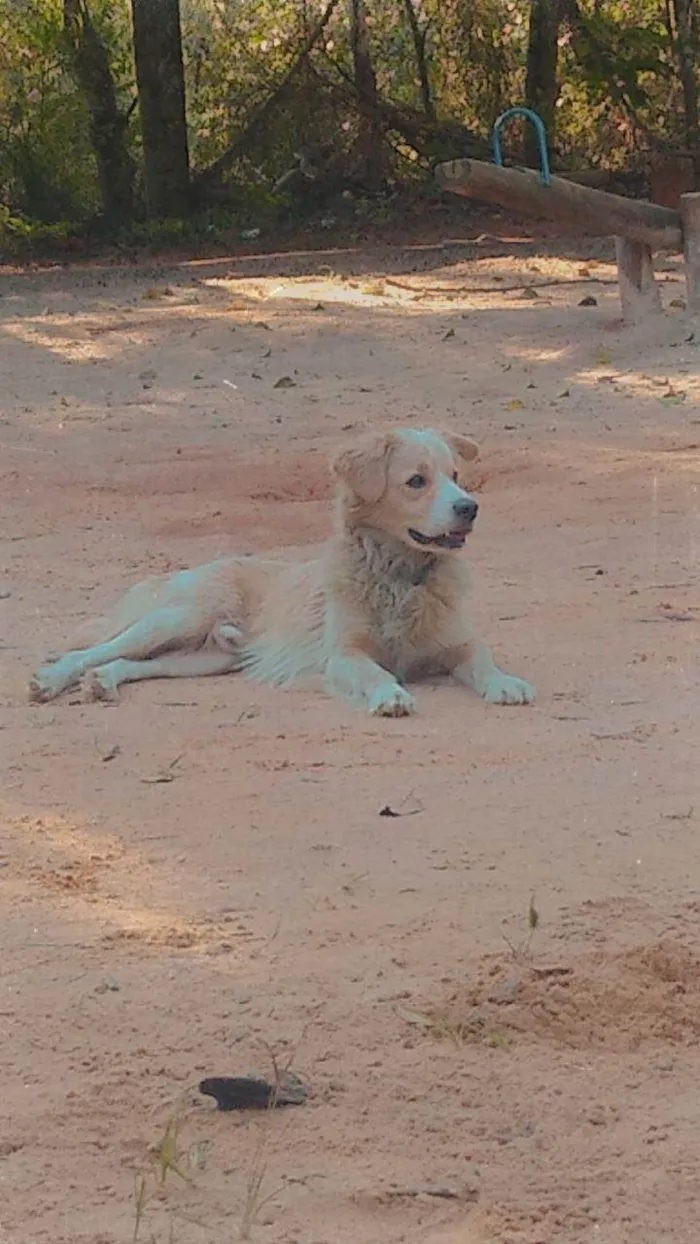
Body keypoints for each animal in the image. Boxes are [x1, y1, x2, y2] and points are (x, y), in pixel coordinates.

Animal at [28, 430, 537, 716]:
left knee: (128, 664)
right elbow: (375, 674)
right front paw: (390, 697)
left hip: (203, 658)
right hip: (178, 619)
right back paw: (51, 681)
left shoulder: (458, 644)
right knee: (90, 652)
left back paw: (104, 683)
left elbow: (484, 659)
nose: (469, 508)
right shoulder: (345, 656)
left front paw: (506, 683)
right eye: (417, 481)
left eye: (457, 476)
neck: (400, 577)